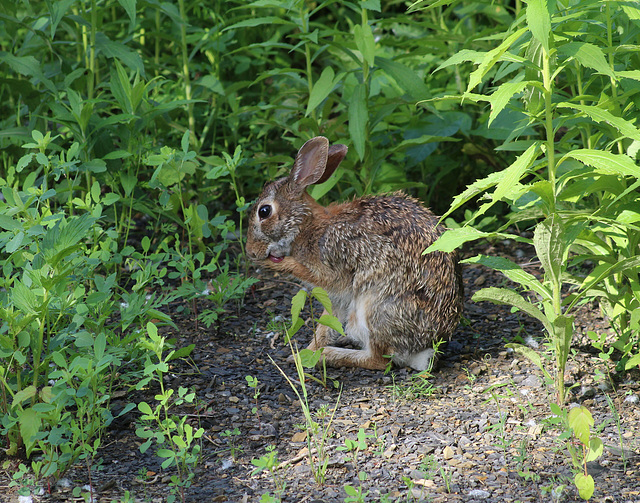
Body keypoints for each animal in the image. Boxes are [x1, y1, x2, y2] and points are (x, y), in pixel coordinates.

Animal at [244, 136, 460, 372]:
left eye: (264, 211)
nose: (250, 251)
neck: (307, 227)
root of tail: (426, 348)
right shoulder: (335, 299)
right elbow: (324, 326)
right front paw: (306, 353)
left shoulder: (333, 263)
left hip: (372, 308)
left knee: (379, 360)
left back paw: (328, 355)